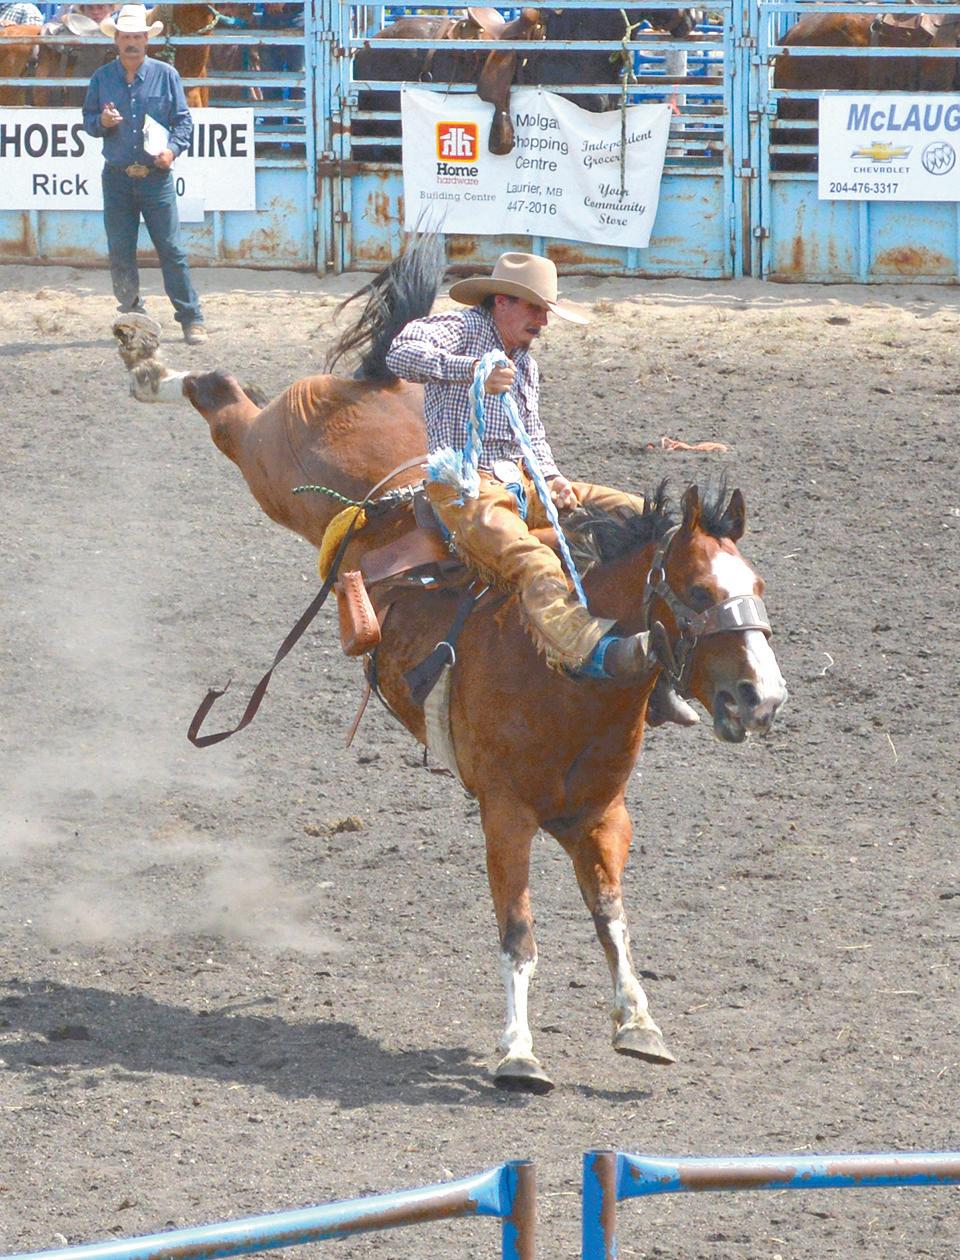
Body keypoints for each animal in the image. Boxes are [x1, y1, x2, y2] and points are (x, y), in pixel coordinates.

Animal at [111, 238, 787, 1093]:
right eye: (698, 591)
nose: (762, 698)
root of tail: (376, 386)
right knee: (227, 398)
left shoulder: (602, 817)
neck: (572, 683)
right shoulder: (505, 812)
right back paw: (144, 361)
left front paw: (638, 1023)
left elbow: (612, 921)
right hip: (270, 459)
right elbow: (518, 932)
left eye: (757, 587)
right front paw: (518, 1052)